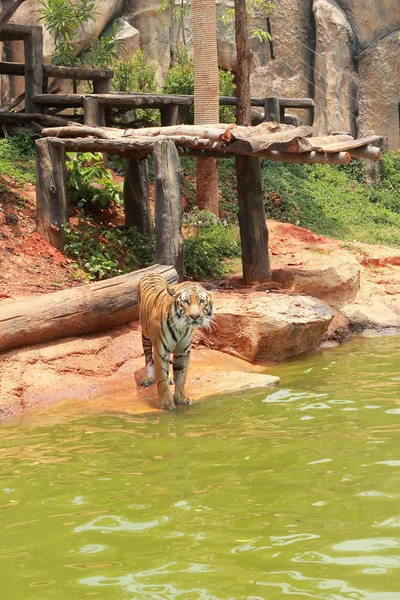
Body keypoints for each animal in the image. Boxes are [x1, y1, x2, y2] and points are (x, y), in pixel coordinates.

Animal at [137, 274, 214, 410]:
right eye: (186, 301)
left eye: (201, 301)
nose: (195, 316)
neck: (181, 328)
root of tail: (150, 273)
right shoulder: (161, 352)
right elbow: (161, 379)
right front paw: (166, 404)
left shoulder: (183, 352)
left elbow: (181, 377)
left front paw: (181, 399)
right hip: (145, 336)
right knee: (148, 358)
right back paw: (149, 378)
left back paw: (170, 378)